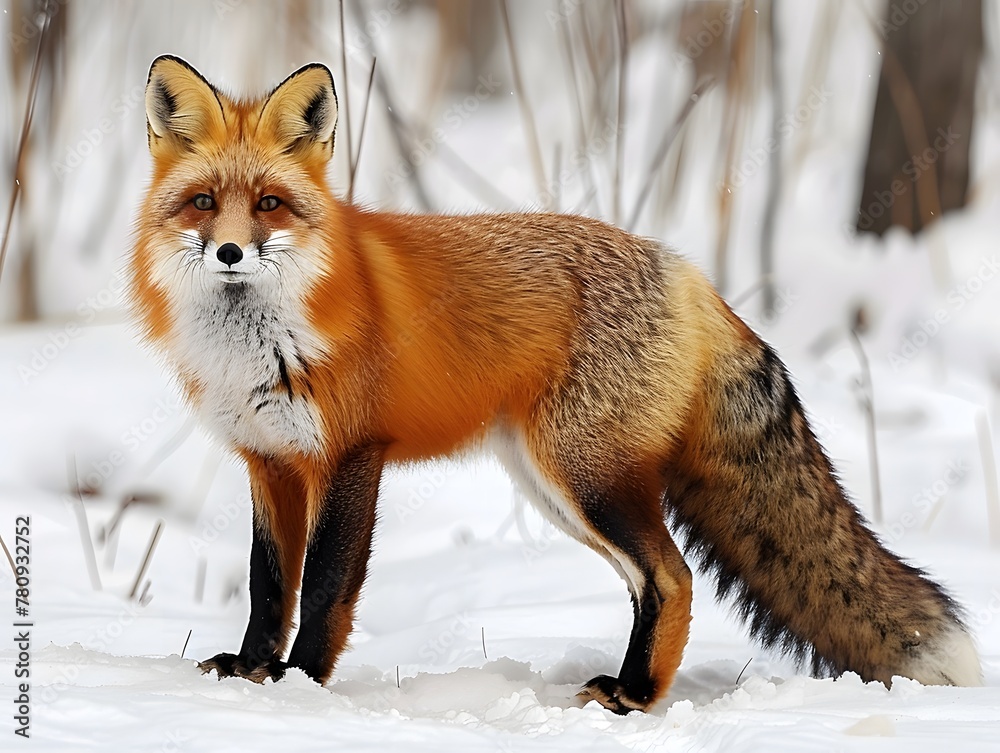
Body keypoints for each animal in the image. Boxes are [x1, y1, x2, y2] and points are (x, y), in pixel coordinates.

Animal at [130, 55, 982, 714]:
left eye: (270, 203)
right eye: (203, 202)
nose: (231, 252)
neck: (261, 342)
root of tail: (685, 269)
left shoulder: (352, 453)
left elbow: (325, 588)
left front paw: (301, 684)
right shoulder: (270, 459)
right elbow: (268, 583)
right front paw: (251, 672)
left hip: (584, 476)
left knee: (672, 575)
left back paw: (635, 698)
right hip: (556, 486)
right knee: (650, 581)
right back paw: (633, 686)